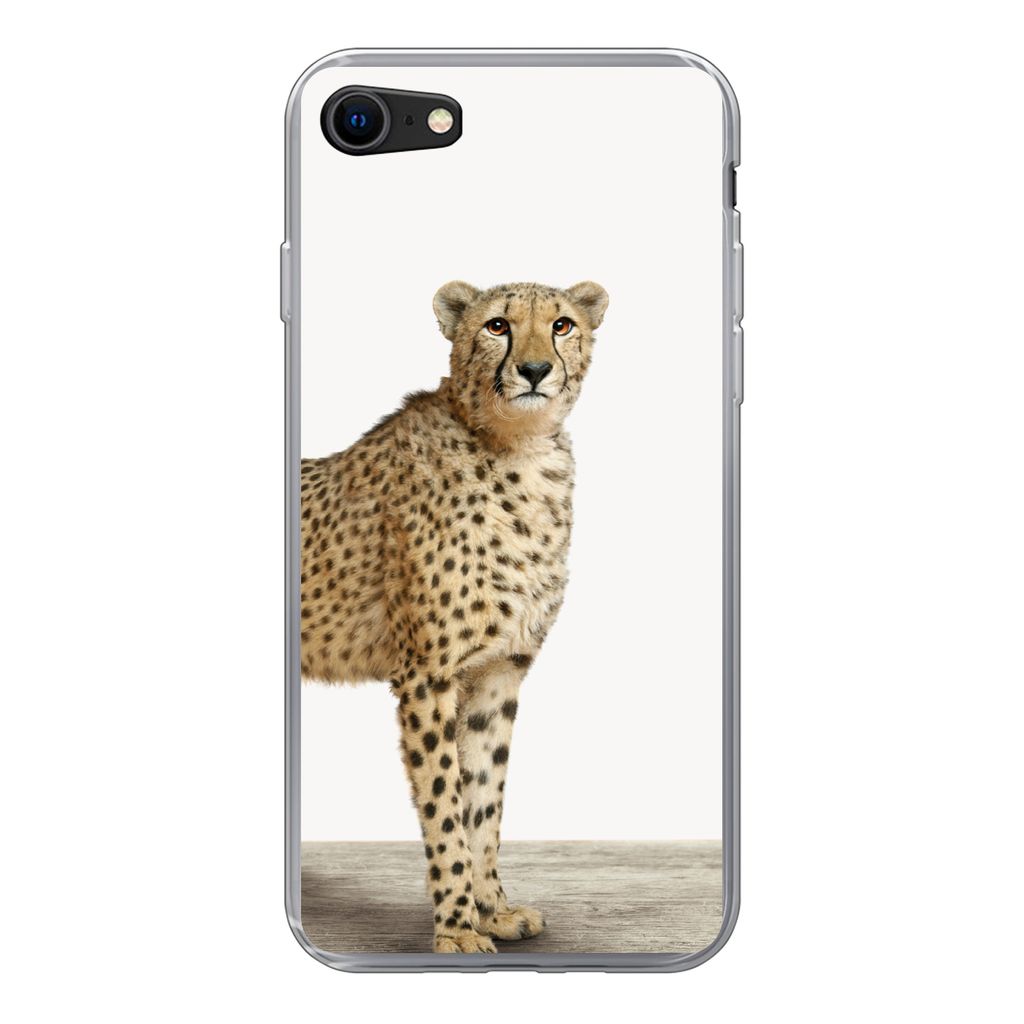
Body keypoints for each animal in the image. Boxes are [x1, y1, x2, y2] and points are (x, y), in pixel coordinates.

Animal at [300, 279, 608, 952]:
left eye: (563, 325)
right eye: (497, 325)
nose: (535, 369)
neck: (518, 451)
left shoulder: (499, 671)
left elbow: (483, 799)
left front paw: (493, 909)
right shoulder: (428, 675)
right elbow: (443, 803)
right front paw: (458, 929)